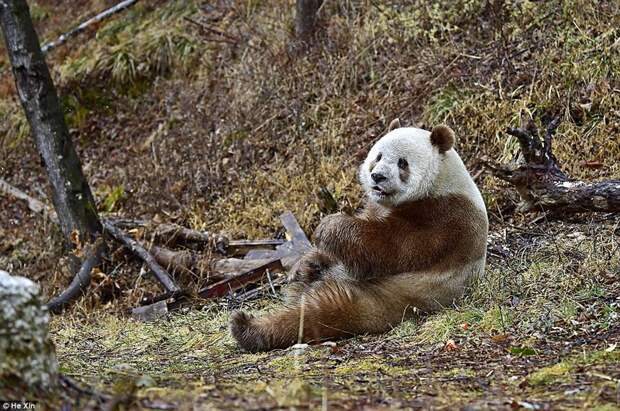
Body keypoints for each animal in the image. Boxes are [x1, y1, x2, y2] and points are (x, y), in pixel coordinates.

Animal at [230, 124, 486, 352]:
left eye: (402, 162)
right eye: (378, 156)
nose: (377, 176)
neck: (440, 182)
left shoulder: (444, 218)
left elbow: (390, 248)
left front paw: (328, 227)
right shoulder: (378, 206)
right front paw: (303, 263)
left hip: (392, 296)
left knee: (323, 313)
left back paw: (248, 327)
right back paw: (304, 277)